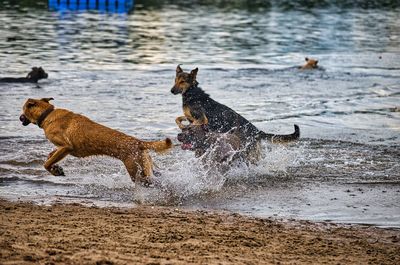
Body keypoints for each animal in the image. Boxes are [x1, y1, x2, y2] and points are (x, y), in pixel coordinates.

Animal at [19, 97, 172, 184]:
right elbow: (51, 157)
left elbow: (46, 163)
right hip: (146, 165)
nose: (19, 117)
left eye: (23, 109)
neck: (47, 114)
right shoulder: (62, 149)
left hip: (136, 171)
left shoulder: (66, 146)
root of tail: (139, 142)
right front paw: (56, 168)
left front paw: (54, 169)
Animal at [170, 64, 298, 159]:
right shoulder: (190, 117)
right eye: (175, 80)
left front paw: (186, 128)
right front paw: (182, 126)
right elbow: (178, 119)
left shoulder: (202, 118)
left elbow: (192, 124)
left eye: (182, 81)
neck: (191, 93)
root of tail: (257, 131)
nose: (171, 91)